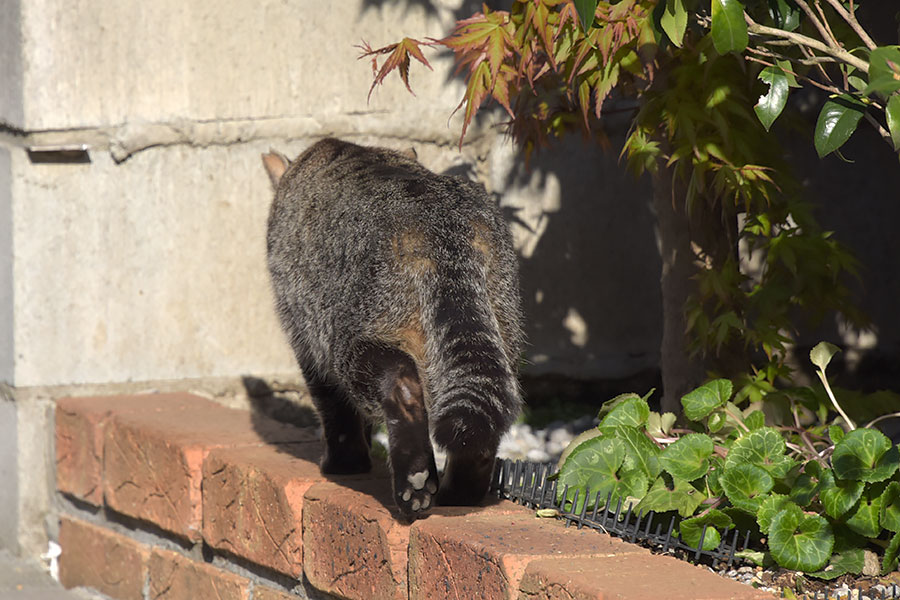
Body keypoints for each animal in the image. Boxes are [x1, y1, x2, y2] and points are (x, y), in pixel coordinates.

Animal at [260, 138, 524, 516]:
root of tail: (439, 220)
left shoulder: (308, 341)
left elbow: (335, 410)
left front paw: (346, 462)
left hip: (354, 341)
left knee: (401, 384)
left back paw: (415, 481)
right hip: (501, 336)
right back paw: (460, 492)